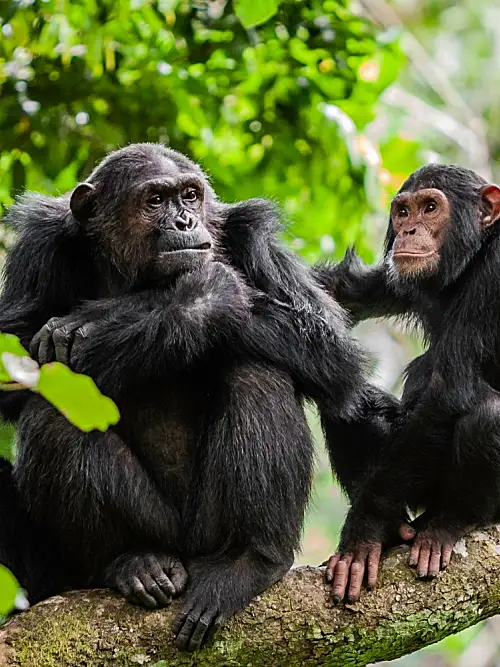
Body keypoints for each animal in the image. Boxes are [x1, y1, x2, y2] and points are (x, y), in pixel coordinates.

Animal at [0, 144, 394, 648]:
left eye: (189, 195)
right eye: (155, 201)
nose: (186, 221)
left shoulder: (254, 239)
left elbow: (330, 347)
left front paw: (121, 313)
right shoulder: (39, 247)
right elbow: (10, 357)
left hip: (210, 529)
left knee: (256, 370)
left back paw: (250, 560)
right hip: (156, 529)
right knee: (54, 413)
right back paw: (132, 562)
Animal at [316, 166, 500, 604]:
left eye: (431, 207)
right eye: (403, 211)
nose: (410, 230)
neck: (473, 259)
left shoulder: (496, 275)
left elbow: (447, 390)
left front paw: (362, 533)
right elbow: (341, 292)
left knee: (487, 413)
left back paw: (449, 524)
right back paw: (393, 531)